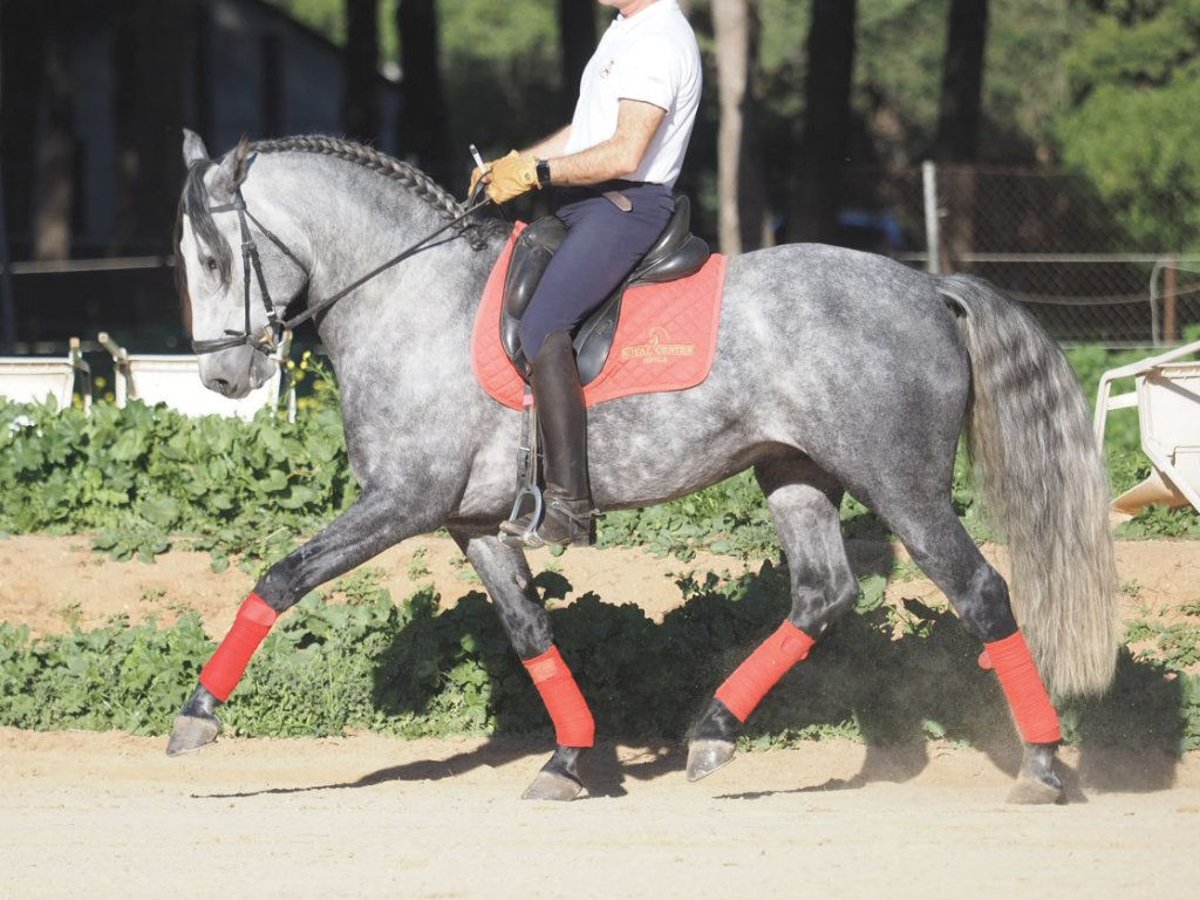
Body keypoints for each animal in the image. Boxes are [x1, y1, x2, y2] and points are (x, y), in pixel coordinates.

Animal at [166, 133, 1113, 801]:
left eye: (214, 258)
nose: (223, 379)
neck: (410, 295)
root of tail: (929, 289)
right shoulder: (472, 521)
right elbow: (530, 630)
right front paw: (569, 758)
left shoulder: (404, 500)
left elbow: (280, 578)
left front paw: (196, 716)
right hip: (794, 473)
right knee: (823, 593)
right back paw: (713, 732)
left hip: (902, 486)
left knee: (980, 592)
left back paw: (1041, 764)